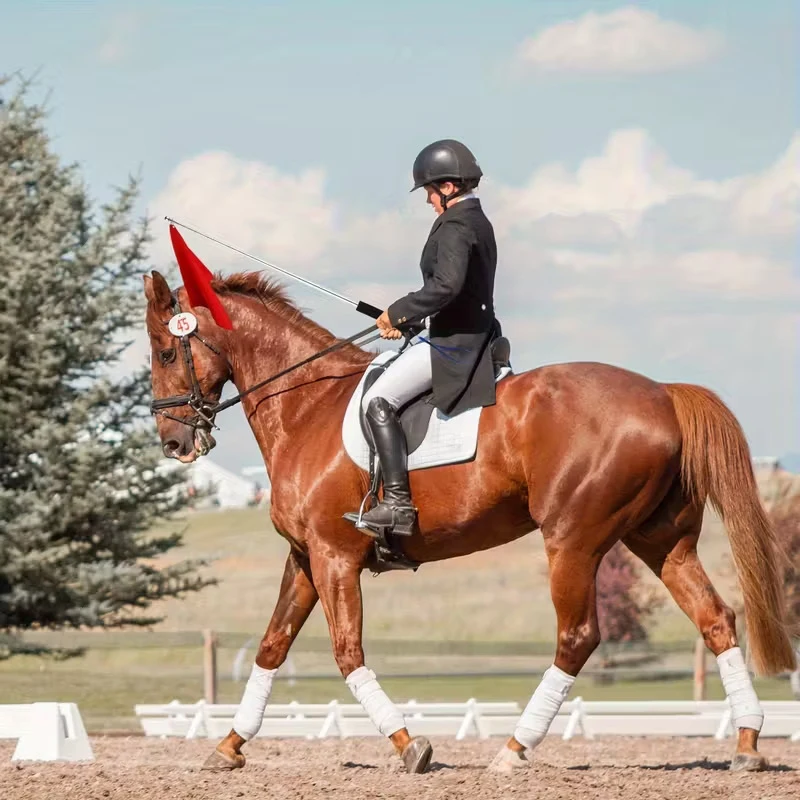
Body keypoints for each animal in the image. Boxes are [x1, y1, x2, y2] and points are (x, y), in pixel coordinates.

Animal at [143, 268, 795, 775]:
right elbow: (273, 645)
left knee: (577, 637)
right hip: (662, 541)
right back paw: (747, 744)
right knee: (715, 619)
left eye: (167, 351)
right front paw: (229, 747)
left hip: (573, 540)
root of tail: (662, 393)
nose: (174, 443)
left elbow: (347, 652)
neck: (306, 405)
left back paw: (513, 749)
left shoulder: (334, 556)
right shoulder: (305, 556)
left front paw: (410, 746)